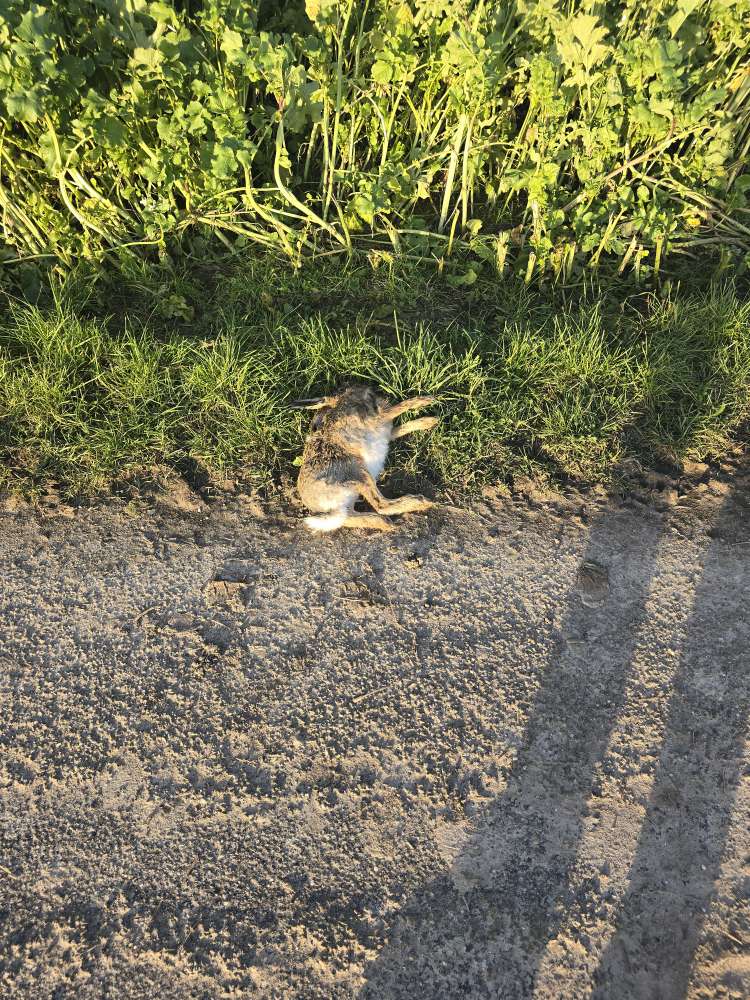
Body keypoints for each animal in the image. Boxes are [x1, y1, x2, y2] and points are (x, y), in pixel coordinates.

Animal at [290, 384, 439, 532]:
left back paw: (384, 522)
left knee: (351, 517)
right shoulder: (378, 419)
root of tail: (326, 509)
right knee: (381, 505)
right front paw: (424, 401)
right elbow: (398, 408)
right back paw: (420, 502)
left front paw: (429, 421)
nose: (368, 390)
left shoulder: (387, 432)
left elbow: (402, 428)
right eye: (342, 391)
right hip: (358, 474)